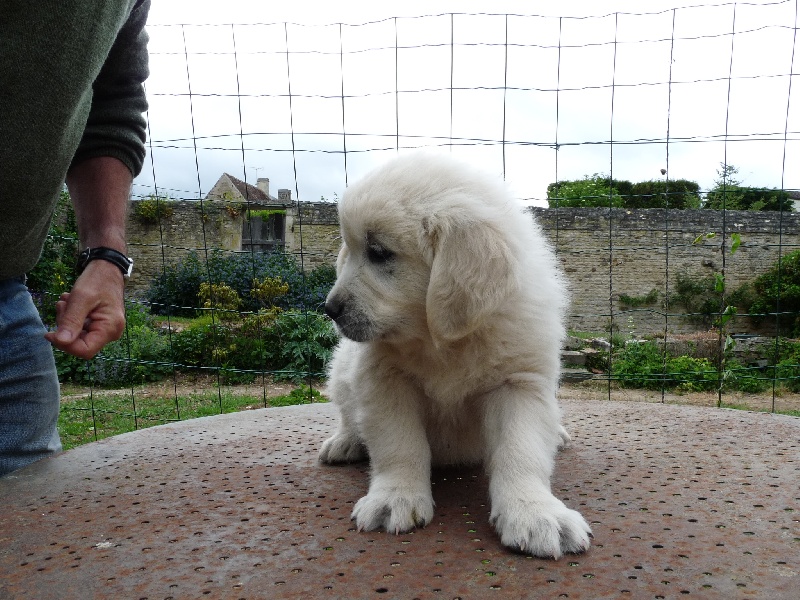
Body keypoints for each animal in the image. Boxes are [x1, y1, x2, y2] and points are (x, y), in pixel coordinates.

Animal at [319, 153, 591, 559]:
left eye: (379, 253)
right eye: (348, 249)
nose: (330, 309)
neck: (441, 339)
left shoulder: (518, 385)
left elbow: (520, 451)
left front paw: (535, 513)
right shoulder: (384, 380)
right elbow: (400, 444)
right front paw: (395, 497)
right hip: (341, 370)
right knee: (349, 415)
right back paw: (346, 441)